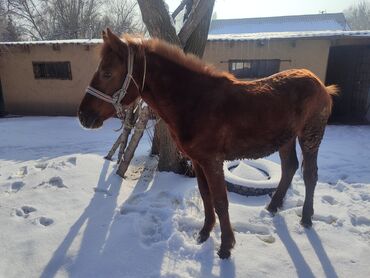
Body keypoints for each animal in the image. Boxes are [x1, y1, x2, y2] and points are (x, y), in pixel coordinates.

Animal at [78, 29, 338, 260]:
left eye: (107, 73)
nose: (83, 117)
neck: (196, 101)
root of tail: (320, 84)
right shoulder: (197, 160)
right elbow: (206, 196)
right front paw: (204, 233)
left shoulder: (213, 161)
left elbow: (221, 201)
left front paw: (226, 247)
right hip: (286, 139)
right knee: (289, 168)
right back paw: (272, 207)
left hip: (310, 136)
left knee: (310, 174)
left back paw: (306, 218)